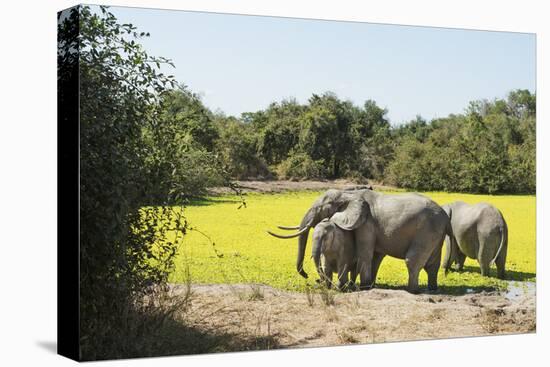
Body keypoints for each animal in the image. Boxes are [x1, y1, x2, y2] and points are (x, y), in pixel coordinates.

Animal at [270, 190, 454, 294]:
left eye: (320, 208)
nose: (307, 276)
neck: (348, 194)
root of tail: (446, 217)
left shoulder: (366, 223)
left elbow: (365, 252)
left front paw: (364, 286)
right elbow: (375, 256)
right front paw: (370, 285)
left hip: (426, 230)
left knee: (413, 261)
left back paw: (412, 291)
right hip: (435, 233)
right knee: (432, 264)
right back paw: (432, 289)